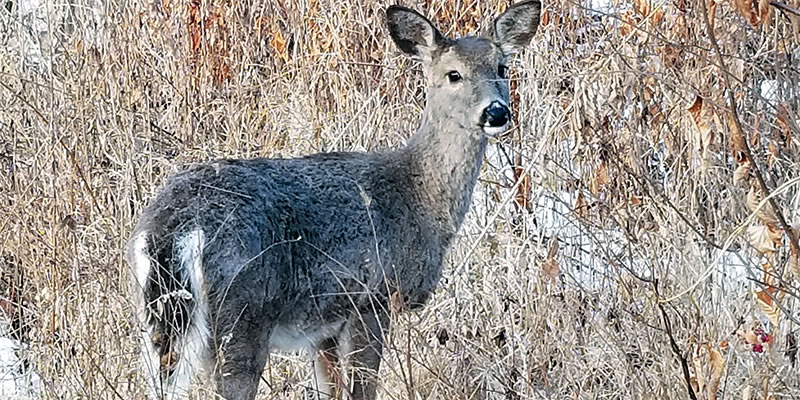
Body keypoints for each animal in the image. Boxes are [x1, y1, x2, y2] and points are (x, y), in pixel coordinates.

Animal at [128, 1, 540, 398]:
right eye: (453, 74)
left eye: (502, 67)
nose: (496, 112)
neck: (418, 199)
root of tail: (172, 229)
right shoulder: (371, 299)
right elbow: (362, 388)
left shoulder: (322, 329)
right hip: (242, 312)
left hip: (160, 320)